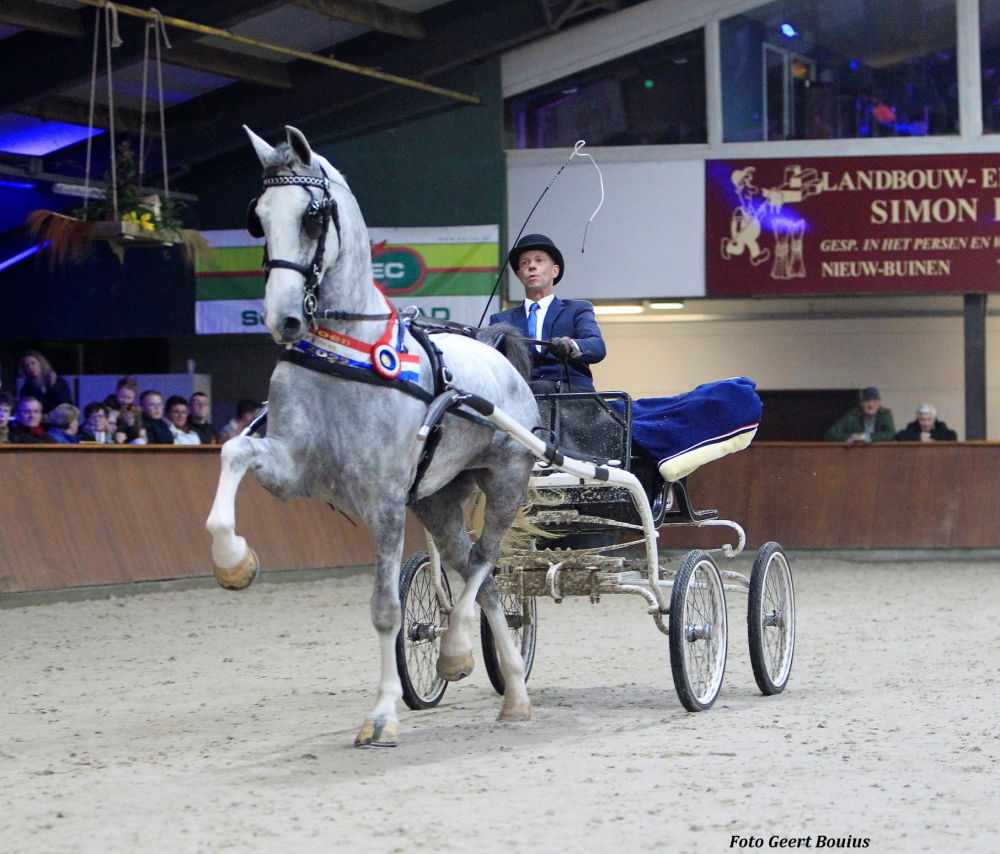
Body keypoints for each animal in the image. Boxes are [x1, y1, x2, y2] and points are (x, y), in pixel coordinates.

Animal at [205, 126, 539, 747]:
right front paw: (234, 562)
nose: (281, 319)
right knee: (478, 578)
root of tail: (498, 353)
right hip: (438, 500)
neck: (346, 354)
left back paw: (456, 653)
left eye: (313, 217)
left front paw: (382, 714)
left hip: (506, 480)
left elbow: (386, 608)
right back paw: (512, 695)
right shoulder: (291, 470)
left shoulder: (384, 500)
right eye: (257, 219)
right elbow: (235, 451)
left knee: (485, 560)